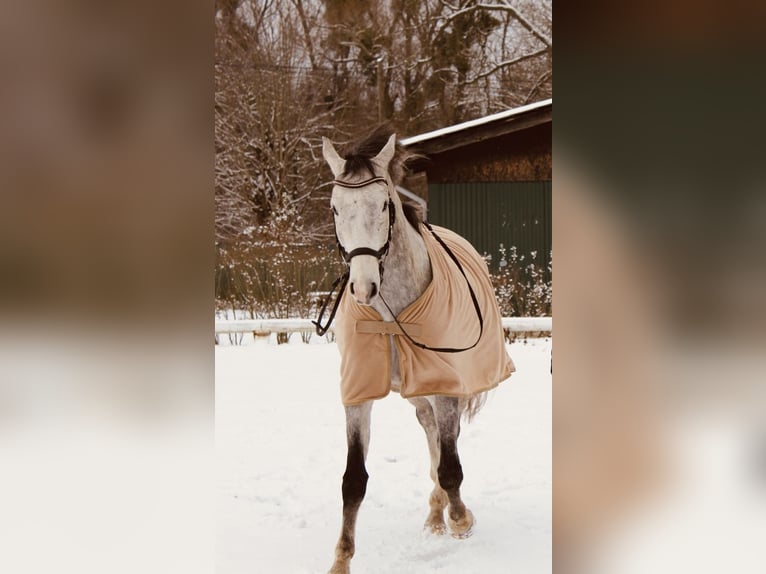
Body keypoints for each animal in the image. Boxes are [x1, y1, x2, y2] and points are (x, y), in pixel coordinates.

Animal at [318, 126, 516, 574]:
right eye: (335, 209)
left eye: (384, 204)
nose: (362, 287)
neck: (390, 314)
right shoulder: (358, 394)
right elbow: (353, 480)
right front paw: (341, 558)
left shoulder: (446, 387)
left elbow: (450, 467)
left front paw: (462, 521)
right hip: (417, 392)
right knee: (428, 430)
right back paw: (434, 514)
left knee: (447, 444)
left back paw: (445, 513)